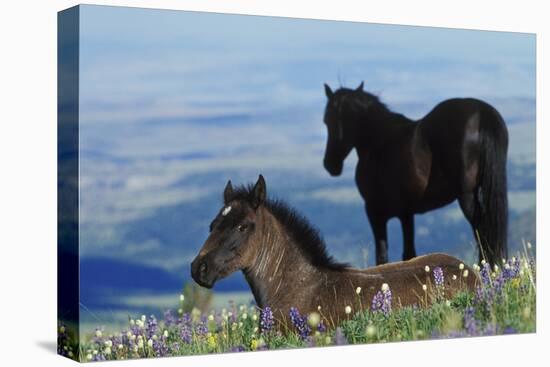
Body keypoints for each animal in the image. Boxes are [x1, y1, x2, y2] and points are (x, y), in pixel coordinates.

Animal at [324, 82, 508, 268]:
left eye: (327, 120)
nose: (330, 164)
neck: (378, 143)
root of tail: (481, 113)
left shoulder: (375, 211)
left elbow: (382, 256)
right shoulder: (406, 213)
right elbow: (409, 253)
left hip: (467, 196)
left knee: (481, 232)